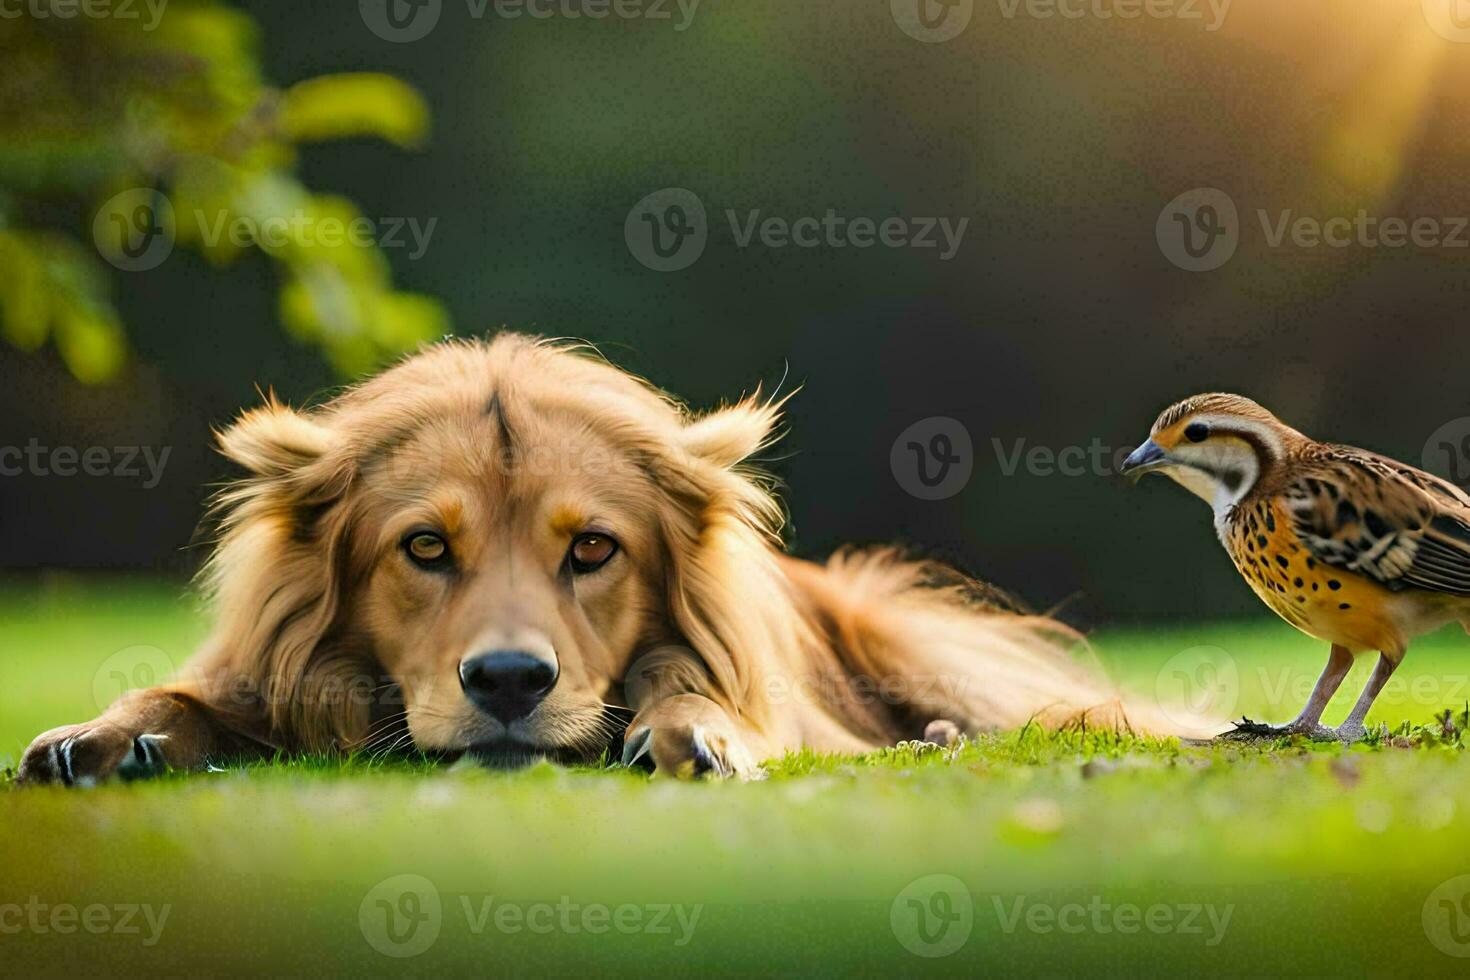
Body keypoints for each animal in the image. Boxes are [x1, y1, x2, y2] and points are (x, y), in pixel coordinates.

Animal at [14, 333, 1158, 787]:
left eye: (594, 548)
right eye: (425, 546)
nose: (510, 683)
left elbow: (693, 692)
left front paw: (693, 732)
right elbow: (169, 696)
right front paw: (95, 737)